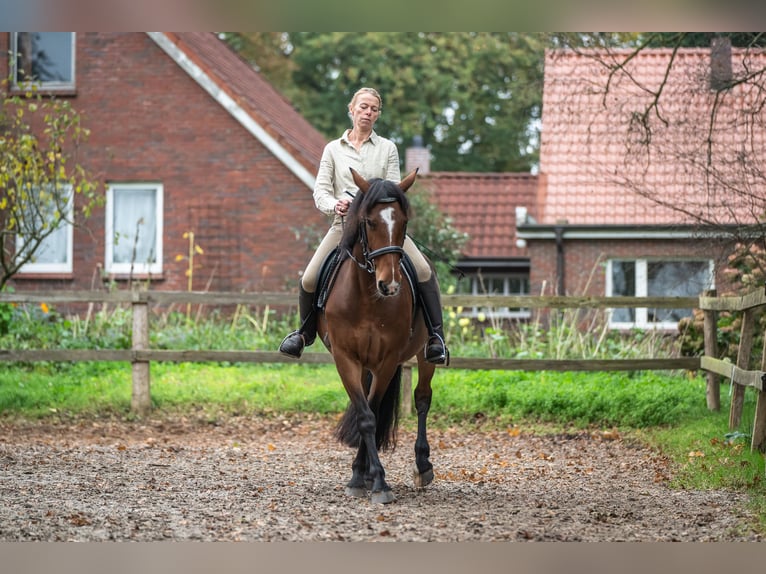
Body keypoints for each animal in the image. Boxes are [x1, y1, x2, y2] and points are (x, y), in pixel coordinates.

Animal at [318, 166, 438, 504]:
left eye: (404, 221)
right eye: (369, 222)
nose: (390, 285)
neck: (367, 298)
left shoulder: (387, 360)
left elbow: (371, 411)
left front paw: (379, 481)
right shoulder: (346, 359)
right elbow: (365, 417)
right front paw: (362, 478)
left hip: (424, 354)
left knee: (422, 399)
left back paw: (422, 466)